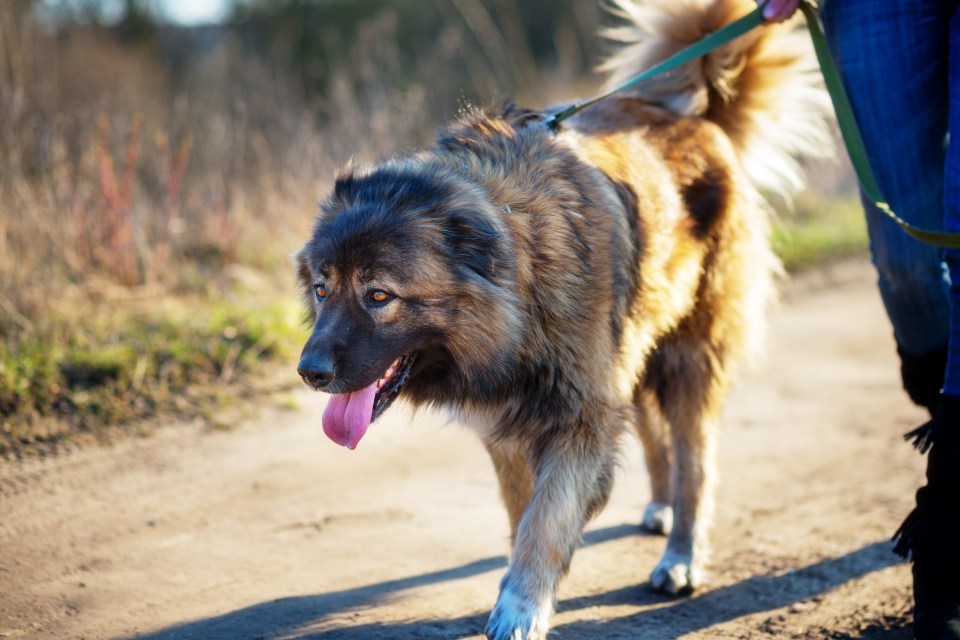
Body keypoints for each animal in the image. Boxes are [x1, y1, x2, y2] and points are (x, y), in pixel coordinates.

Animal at [290, 2, 824, 636]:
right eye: (322, 289)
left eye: (377, 295)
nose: (310, 372)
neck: (520, 281)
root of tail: (697, 118)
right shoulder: (511, 428)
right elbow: (524, 515)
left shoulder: (580, 417)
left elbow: (545, 522)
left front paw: (521, 607)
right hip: (636, 351)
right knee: (655, 436)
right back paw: (661, 508)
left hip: (688, 358)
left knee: (696, 461)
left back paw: (682, 557)